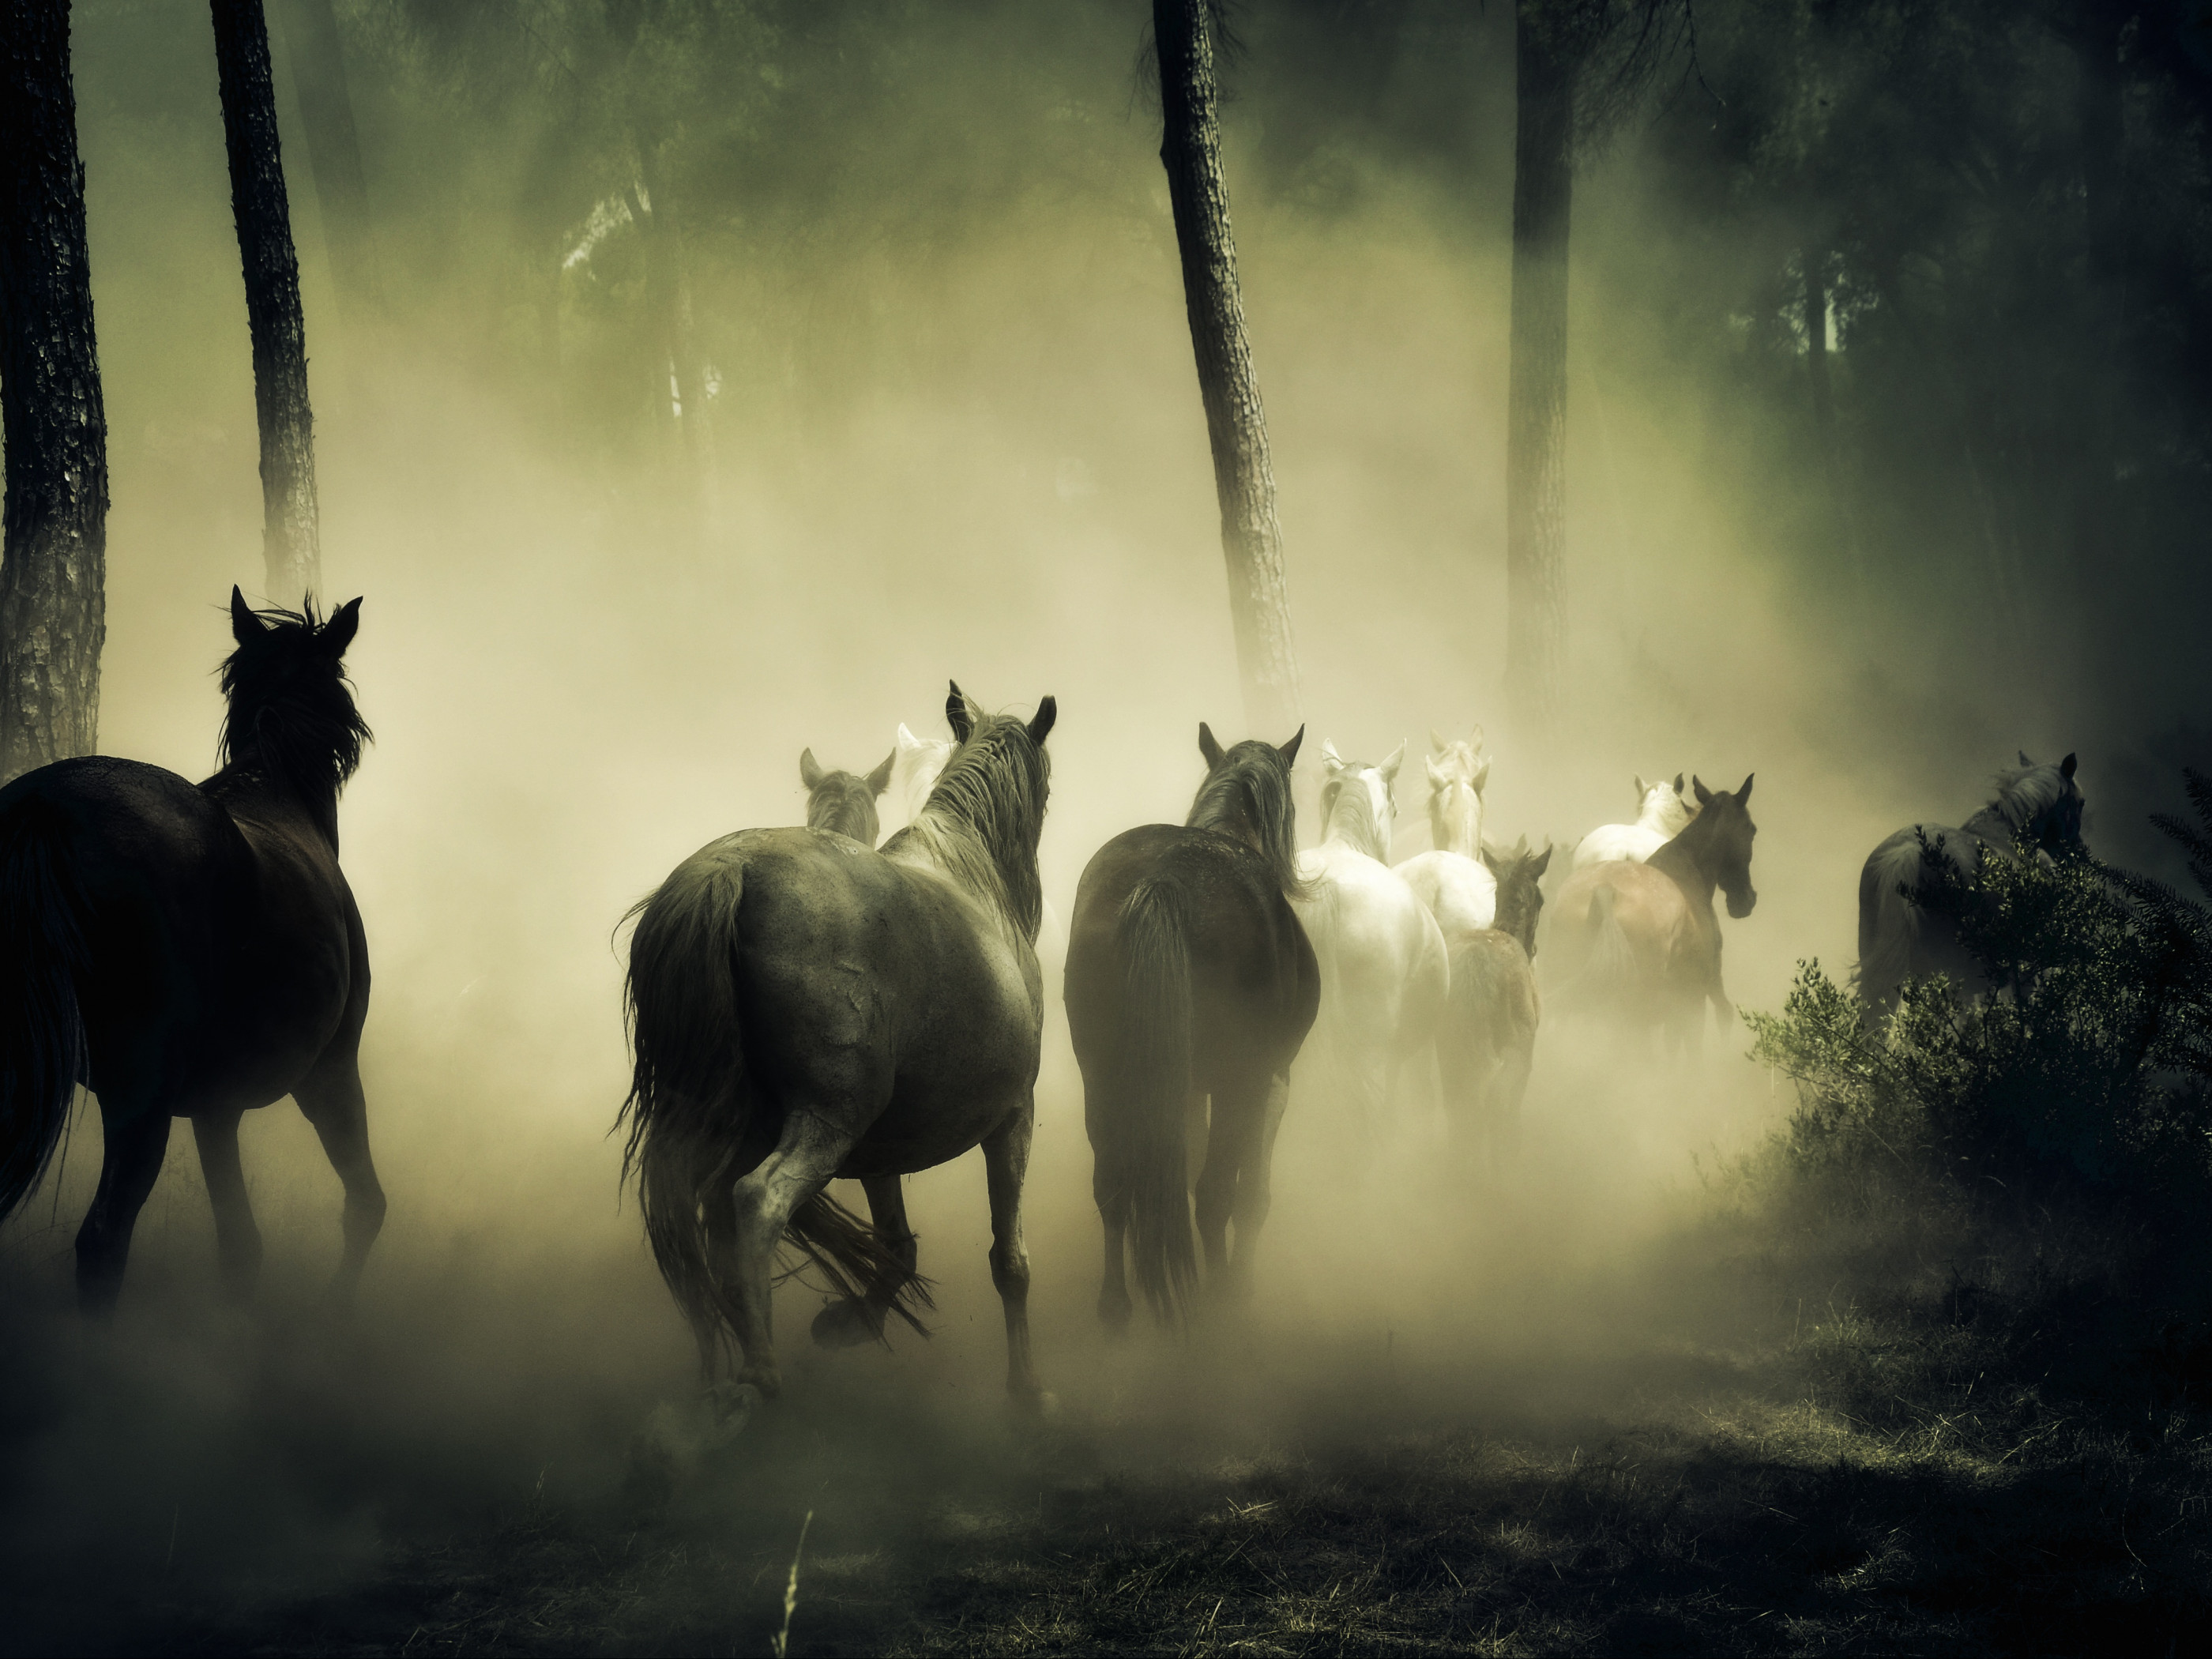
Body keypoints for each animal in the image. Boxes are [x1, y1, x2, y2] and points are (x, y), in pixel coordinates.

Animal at [0, 590, 384, 1313]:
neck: (275, 788)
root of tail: (46, 802)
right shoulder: (329, 1073)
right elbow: (365, 1207)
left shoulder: (216, 1108)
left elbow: (241, 1248)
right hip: (142, 1095)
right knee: (103, 1241)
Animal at [621, 683, 1056, 1409]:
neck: (974, 876)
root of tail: (729, 872)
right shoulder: (1012, 1118)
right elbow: (1010, 1263)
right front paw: (1029, 1396)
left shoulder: (882, 1147)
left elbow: (897, 1246)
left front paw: (847, 1322)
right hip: (827, 1121)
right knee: (755, 1201)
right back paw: (758, 1373)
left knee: (687, 1222)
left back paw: (713, 1378)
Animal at [1065, 723, 1317, 1327]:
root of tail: (1164, 881)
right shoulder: (1270, 1082)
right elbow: (1251, 1196)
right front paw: (1241, 1283)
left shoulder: (1181, 1088)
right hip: (1234, 1081)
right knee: (1214, 1195)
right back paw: (1218, 1303)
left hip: (1103, 1074)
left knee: (1113, 1184)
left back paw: (1116, 1304)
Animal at [1436, 839, 1550, 1176]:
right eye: (1541, 900)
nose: (1534, 949)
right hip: (1514, 1050)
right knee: (1497, 1105)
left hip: (1451, 1051)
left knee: (1460, 1108)